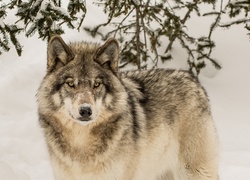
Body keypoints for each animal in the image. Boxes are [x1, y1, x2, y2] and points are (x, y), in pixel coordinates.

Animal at [37, 35, 219, 180]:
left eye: (97, 84)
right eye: (70, 84)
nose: (85, 111)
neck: (81, 145)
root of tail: (193, 79)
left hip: (194, 171)